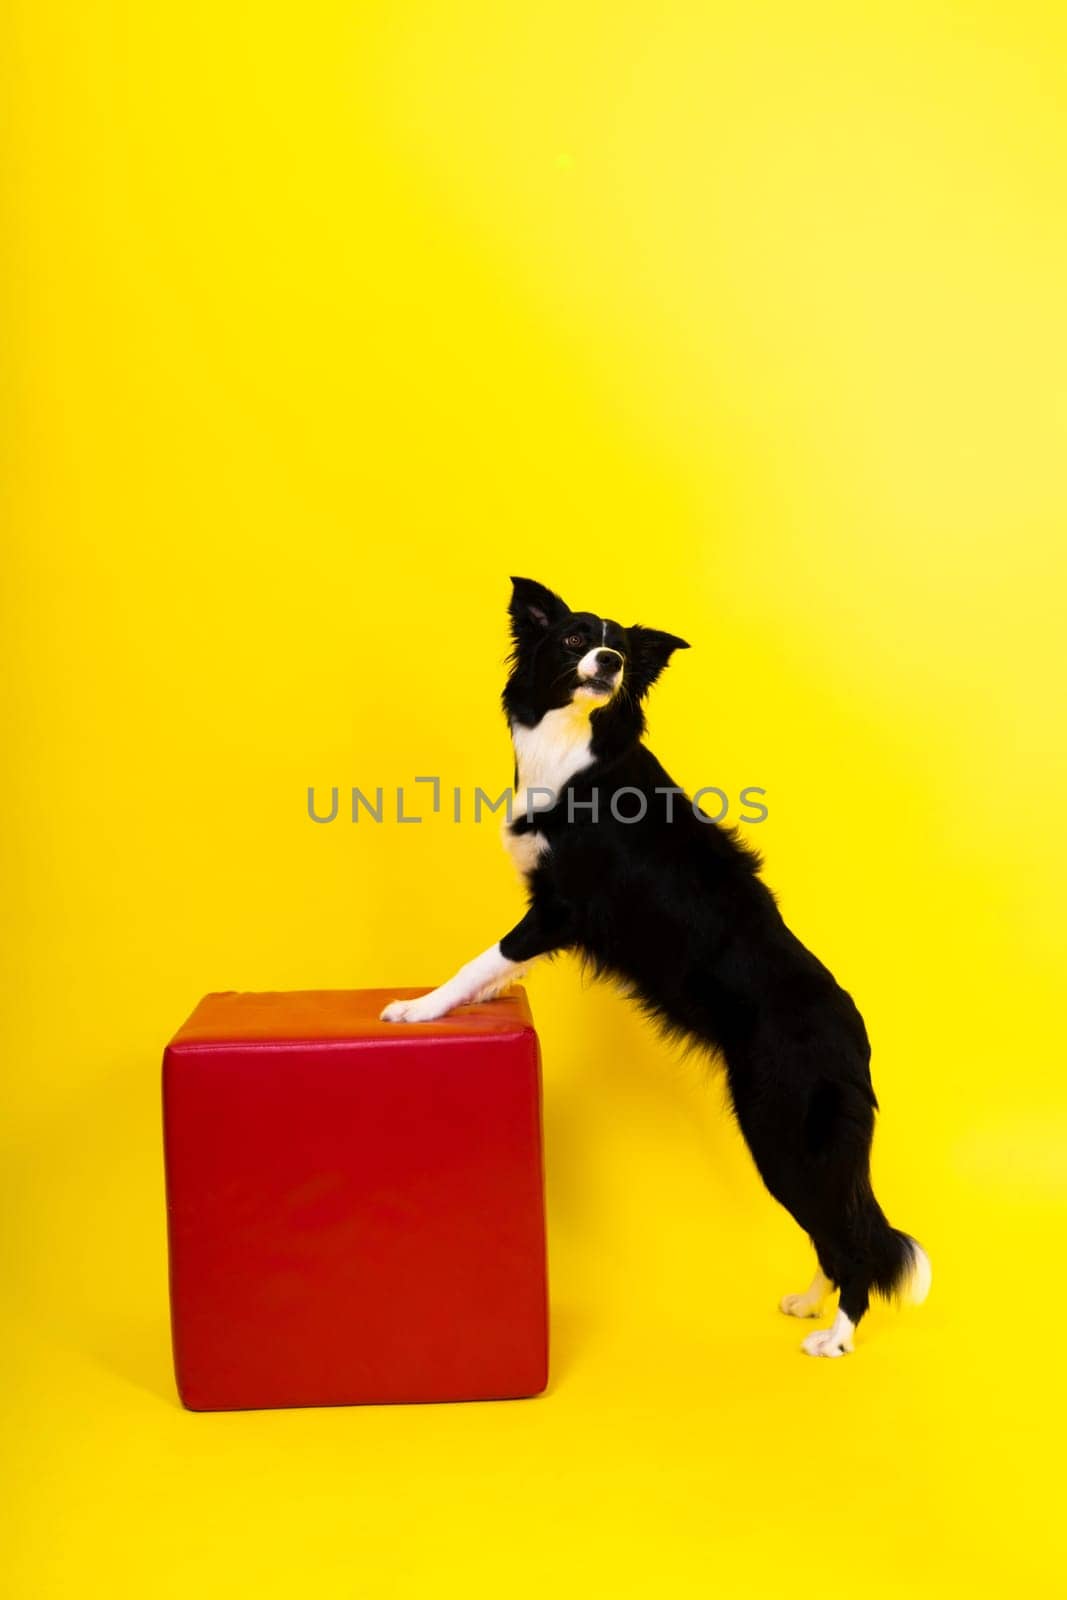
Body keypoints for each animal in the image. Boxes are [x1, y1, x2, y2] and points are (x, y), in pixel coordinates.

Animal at [382, 576, 927, 1350]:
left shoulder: (559, 909)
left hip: (783, 1132)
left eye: (620, 651)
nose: (608, 660)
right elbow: (498, 968)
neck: (576, 742)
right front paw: (479, 1002)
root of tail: (854, 1035)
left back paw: (835, 1338)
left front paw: (420, 1007)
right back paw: (808, 1302)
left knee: (850, 1242)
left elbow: (480, 958)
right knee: (832, 1234)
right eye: (575, 637)